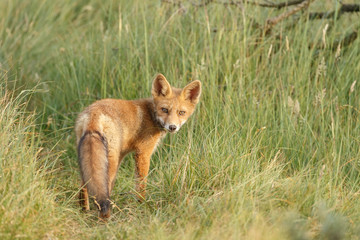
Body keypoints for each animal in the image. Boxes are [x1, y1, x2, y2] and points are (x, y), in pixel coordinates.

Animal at [75, 74, 201, 218]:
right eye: (164, 110)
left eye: (181, 112)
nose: (172, 127)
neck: (151, 115)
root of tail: (93, 115)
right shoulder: (143, 152)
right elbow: (141, 184)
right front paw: (142, 205)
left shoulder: (122, 154)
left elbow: (111, 187)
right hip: (109, 160)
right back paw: (105, 216)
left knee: (85, 185)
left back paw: (84, 210)